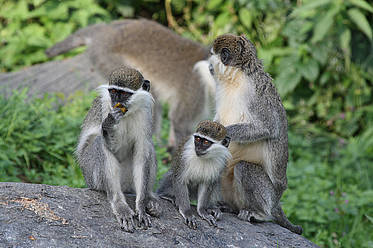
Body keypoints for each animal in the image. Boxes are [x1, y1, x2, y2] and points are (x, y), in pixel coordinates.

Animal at [76, 65, 161, 232]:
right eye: (114, 92)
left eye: (124, 94)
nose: (116, 101)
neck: (127, 114)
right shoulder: (105, 107)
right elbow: (112, 147)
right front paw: (109, 123)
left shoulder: (146, 111)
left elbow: (142, 153)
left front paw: (141, 206)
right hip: (92, 177)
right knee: (100, 143)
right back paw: (119, 204)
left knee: (148, 146)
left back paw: (149, 197)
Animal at [209, 33, 302, 234]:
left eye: (212, 54)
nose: (209, 65)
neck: (236, 78)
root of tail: (276, 202)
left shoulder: (256, 93)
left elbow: (267, 128)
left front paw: (225, 133)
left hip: (269, 196)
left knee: (244, 168)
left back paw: (259, 214)